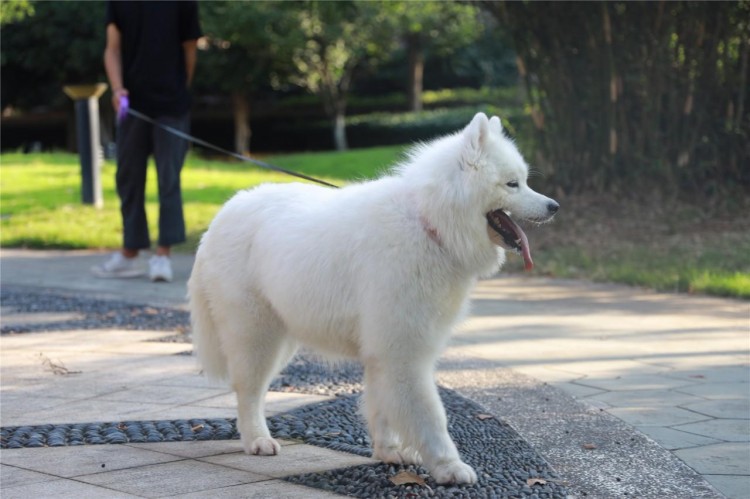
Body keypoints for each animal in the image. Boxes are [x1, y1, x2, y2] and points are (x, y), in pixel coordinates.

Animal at [189, 112, 560, 484]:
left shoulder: (383, 351)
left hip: (282, 338)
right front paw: (448, 466)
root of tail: (220, 217)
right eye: (512, 184)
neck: (428, 223)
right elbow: (430, 415)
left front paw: (389, 452)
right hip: (257, 337)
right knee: (248, 392)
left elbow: (382, 406)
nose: (554, 206)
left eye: (525, 181)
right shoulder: (404, 351)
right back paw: (257, 440)